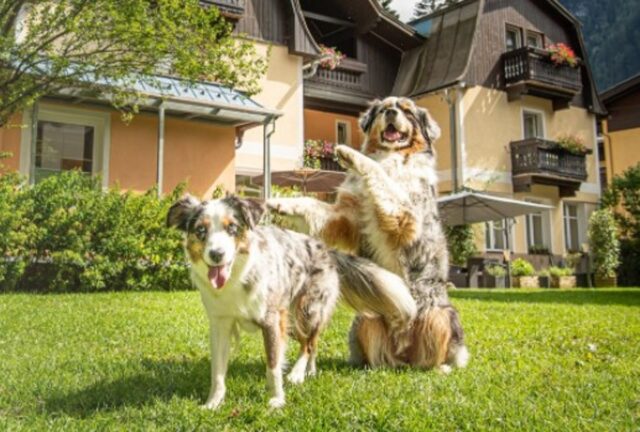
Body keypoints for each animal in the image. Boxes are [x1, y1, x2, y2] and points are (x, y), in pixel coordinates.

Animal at [165, 194, 416, 410]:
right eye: (201, 230)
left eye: (232, 228)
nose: (216, 255)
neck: (237, 277)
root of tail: (326, 249)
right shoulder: (220, 323)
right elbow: (217, 369)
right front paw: (213, 403)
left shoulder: (271, 320)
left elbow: (273, 365)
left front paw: (277, 400)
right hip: (293, 320)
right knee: (312, 343)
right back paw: (310, 371)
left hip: (304, 310)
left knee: (308, 344)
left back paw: (297, 374)